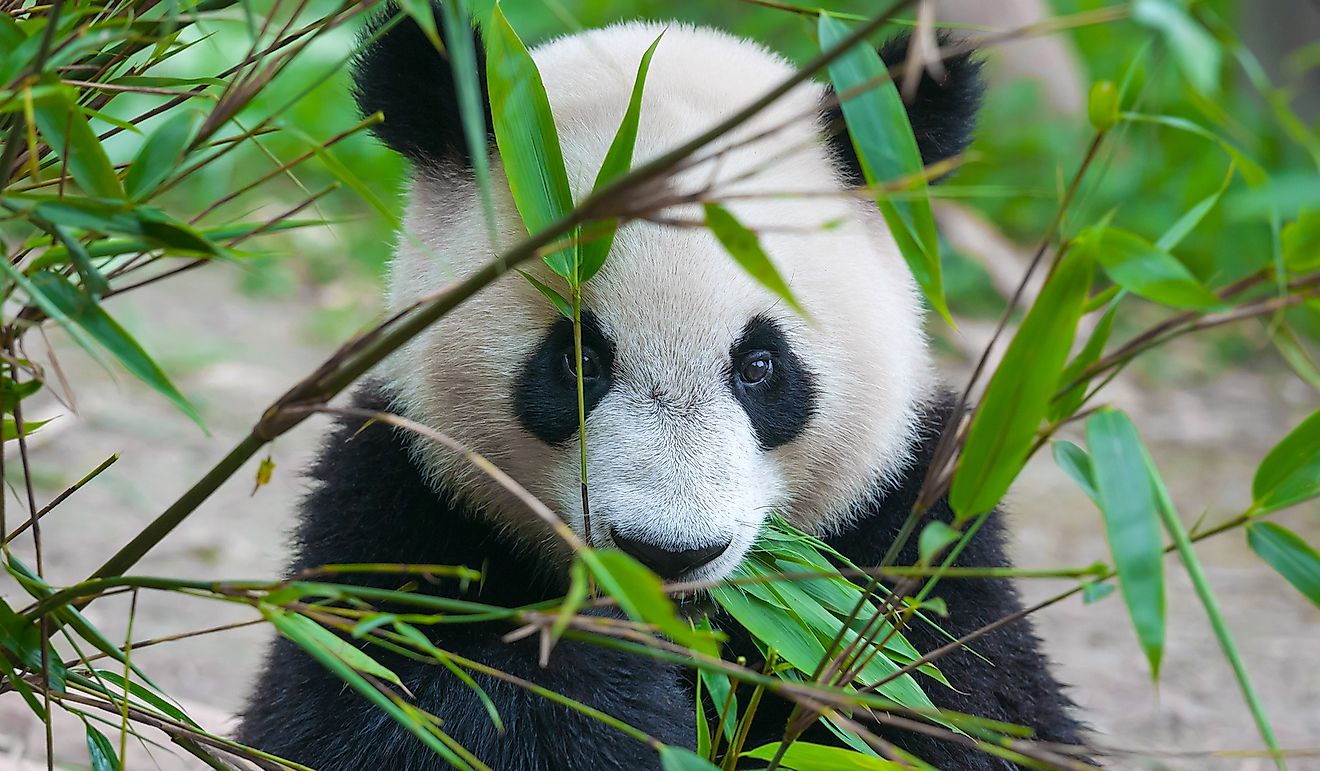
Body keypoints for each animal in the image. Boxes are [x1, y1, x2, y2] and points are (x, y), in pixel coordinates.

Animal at [237, 3, 1082, 765]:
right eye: (580, 360)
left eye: (760, 366)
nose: (667, 552)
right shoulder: (399, 499)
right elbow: (376, 700)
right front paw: (608, 692)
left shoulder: (912, 528)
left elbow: (961, 710)